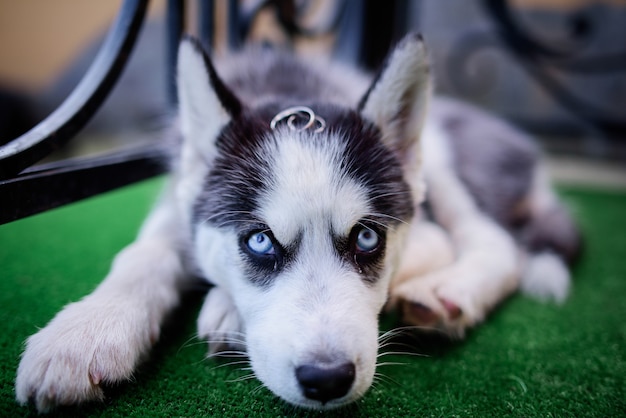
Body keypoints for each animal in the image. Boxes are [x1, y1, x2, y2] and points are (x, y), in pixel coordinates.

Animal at [15, 33, 580, 412]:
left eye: (367, 236)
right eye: (260, 241)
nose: (327, 379)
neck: (290, 95)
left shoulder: (426, 231)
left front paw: (225, 308)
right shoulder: (180, 202)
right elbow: (144, 253)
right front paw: (86, 330)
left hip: (440, 158)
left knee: (499, 243)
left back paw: (447, 292)